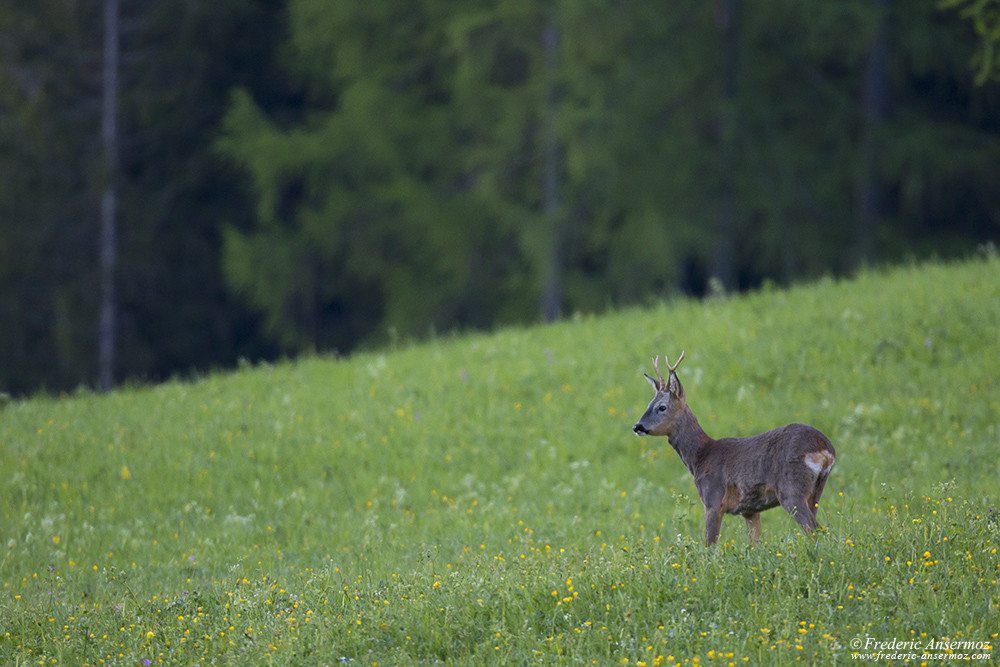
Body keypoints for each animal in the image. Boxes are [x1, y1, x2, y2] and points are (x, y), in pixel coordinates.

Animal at [632, 352, 836, 544]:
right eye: (649, 404)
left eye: (662, 407)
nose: (637, 426)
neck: (700, 457)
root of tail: (825, 449)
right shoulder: (750, 510)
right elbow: (756, 544)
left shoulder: (713, 500)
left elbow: (709, 546)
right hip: (816, 490)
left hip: (791, 489)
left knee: (815, 529)